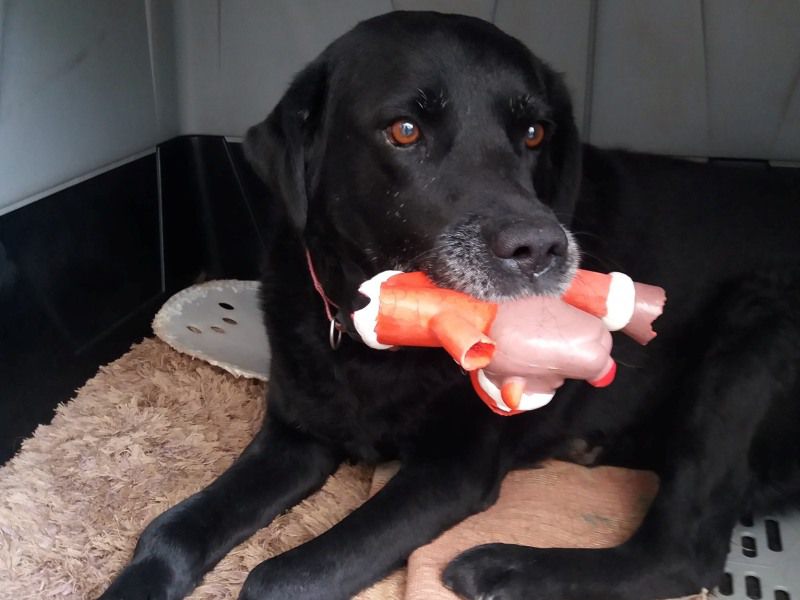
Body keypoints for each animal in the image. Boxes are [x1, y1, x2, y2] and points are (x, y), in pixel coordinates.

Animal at [100, 11, 800, 600]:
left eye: (534, 132)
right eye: (404, 130)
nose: (542, 247)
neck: (383, 331)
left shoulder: (452, 468)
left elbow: (281, 577)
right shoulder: (296, 435)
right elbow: (171, 532)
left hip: (757, 327)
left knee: (684, 553)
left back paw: (507, 568)